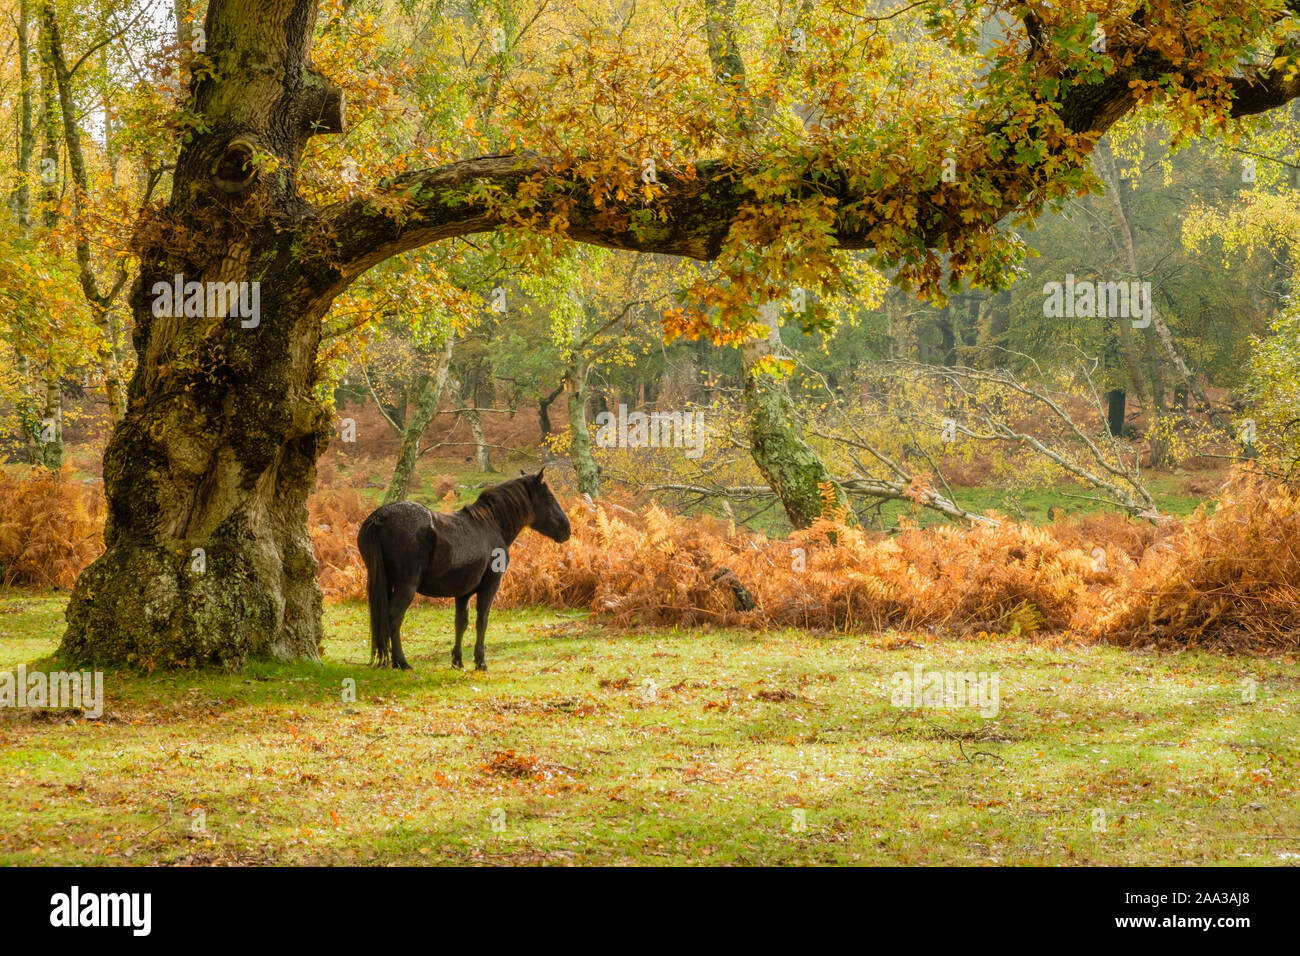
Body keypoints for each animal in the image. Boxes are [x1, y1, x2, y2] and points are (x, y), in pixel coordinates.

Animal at [356, 468, 569, 671]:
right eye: (549, 499)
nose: (567, 530)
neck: (490, 525)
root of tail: (380, 517)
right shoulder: (489, 588)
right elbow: (481, 622)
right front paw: (480, 662)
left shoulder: (463, 593)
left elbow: (461, 624)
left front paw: (457, 661)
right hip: (405, 587)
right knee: (394, 618)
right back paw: (401, 662)